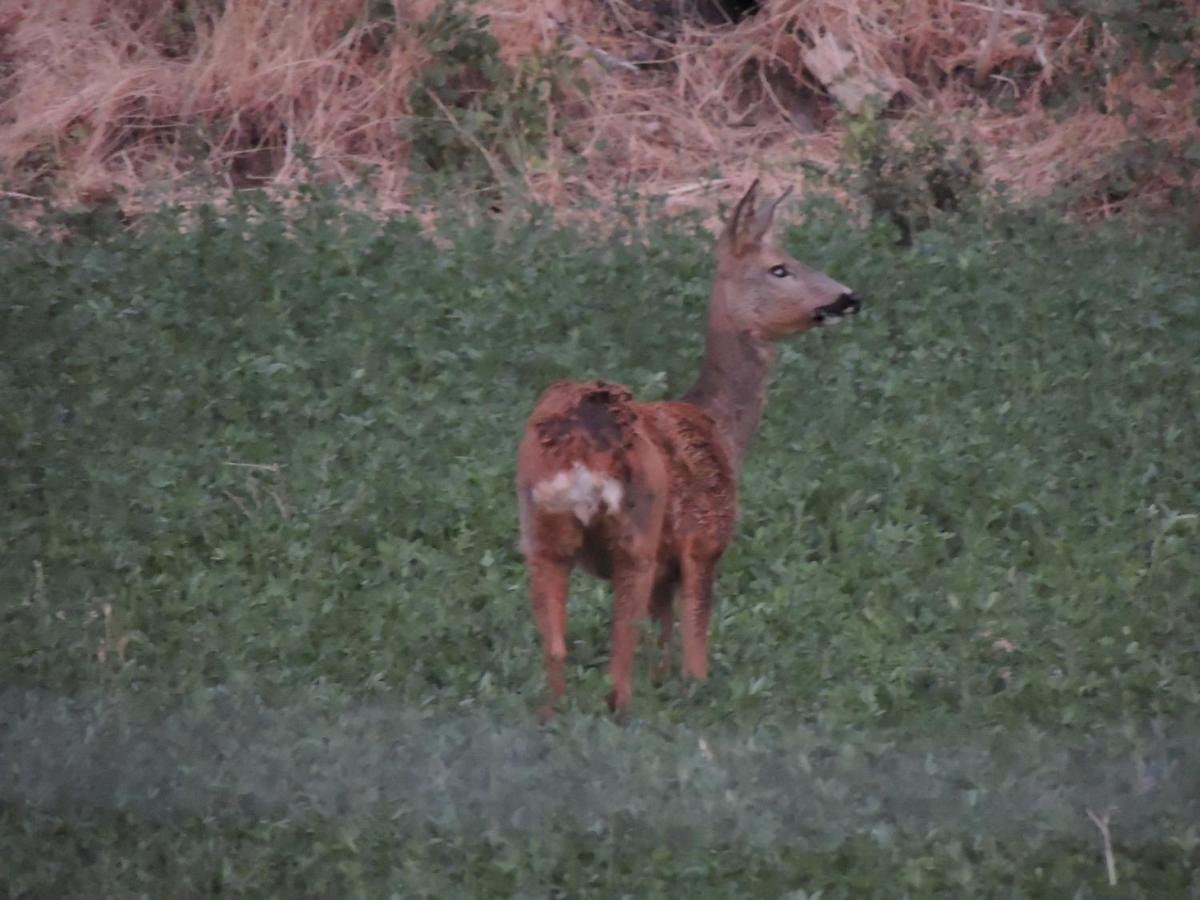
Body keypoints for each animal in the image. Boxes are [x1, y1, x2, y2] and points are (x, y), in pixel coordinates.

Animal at [516, 180, 864, 724]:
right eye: (780, 267)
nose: (849, 297)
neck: (721, 427)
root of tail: (580, 447)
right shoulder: (704, 540)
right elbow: (694, 650)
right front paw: (697, 695)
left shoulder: (666, 570)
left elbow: (662, 645)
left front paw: (666, 689)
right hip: (634, 532)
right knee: (620, 644)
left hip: (539, 534)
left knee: (556, 647)